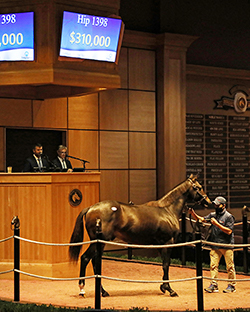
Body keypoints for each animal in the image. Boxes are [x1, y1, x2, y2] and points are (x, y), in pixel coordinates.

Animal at [68, 174, 211, 296]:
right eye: (199, 187)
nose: (209, 202)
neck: (167, 210)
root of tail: (91, 208)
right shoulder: (168, 242)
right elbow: (166, 264)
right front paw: (170, 289)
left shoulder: (160, 244)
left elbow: (164, 264)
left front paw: (163, 287)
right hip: (100, 241)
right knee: (86, 258)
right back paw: (82, 289)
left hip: (99, 243)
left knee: (93, 261)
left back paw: (103, 292)